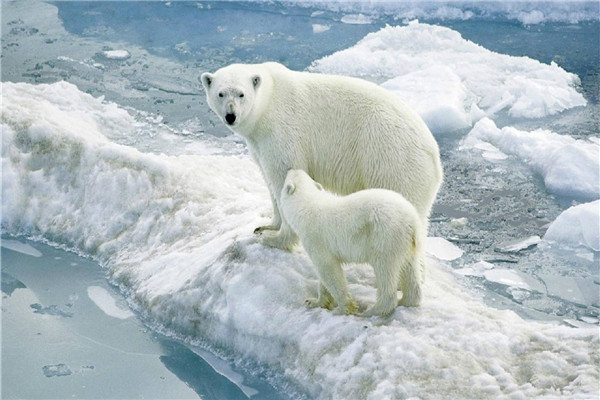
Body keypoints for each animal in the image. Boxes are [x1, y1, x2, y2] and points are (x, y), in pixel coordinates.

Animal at [200, 61, 440, 253]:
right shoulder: (258, 143)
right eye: (221, 93)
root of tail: (434, 157)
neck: (268, 102)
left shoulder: (282, 131)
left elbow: (284, 175)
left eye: (241, 94)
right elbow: (268, 181)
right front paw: (266, 225)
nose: (231, 116)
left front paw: (275, 239)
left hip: (392, 161)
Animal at [280, 170, 422, 316]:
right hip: (406, 243)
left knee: (385, 270)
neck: (308, 205)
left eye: (288, 178)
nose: (291, 169)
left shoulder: (316, 238)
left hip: (385, 237)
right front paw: (314, 301)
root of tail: (412, 221)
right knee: (409, 268)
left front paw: (342, 309)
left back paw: (372, 310)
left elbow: (328, 269)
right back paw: (406, 300)